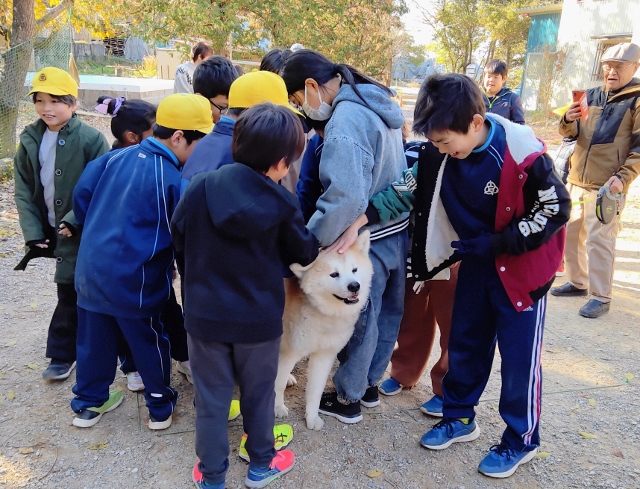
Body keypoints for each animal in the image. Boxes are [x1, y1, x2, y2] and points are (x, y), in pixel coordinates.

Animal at [276, 231, 376, 428]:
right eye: (334, 274)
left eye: (354, 270)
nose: (354, 286)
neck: (324, 315)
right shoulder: (289, 351)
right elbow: (278, 384)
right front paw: (277, 408)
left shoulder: (325, 355)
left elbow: (315, 391)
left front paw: (312, 417)